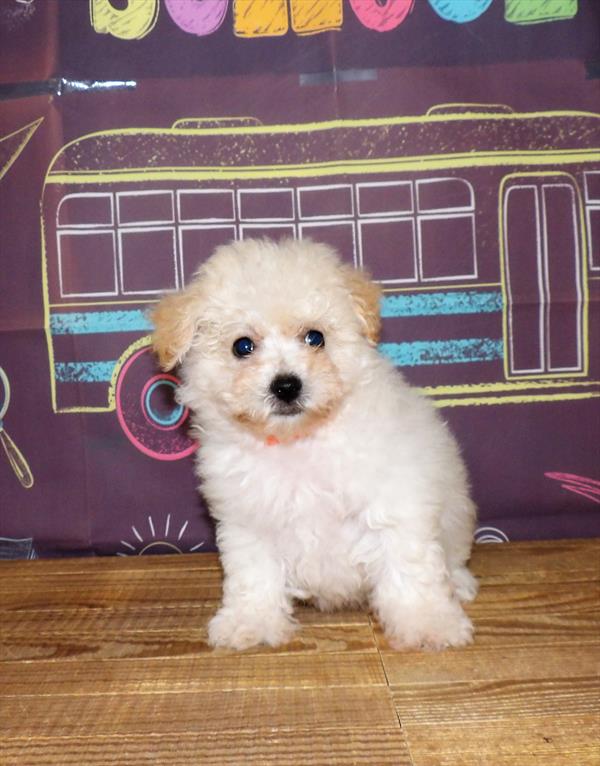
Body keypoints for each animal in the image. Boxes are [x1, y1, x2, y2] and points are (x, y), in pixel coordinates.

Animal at [151, 237, 478, 652]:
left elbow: (410, 567)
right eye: (242, 346)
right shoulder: (248, 521)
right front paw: (250, 621)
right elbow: (253, 575)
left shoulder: (394, 503)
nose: (286, 385)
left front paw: (429, 623)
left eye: (315, 337)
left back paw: (460, 584)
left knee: (453, 558)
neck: (298, 442)